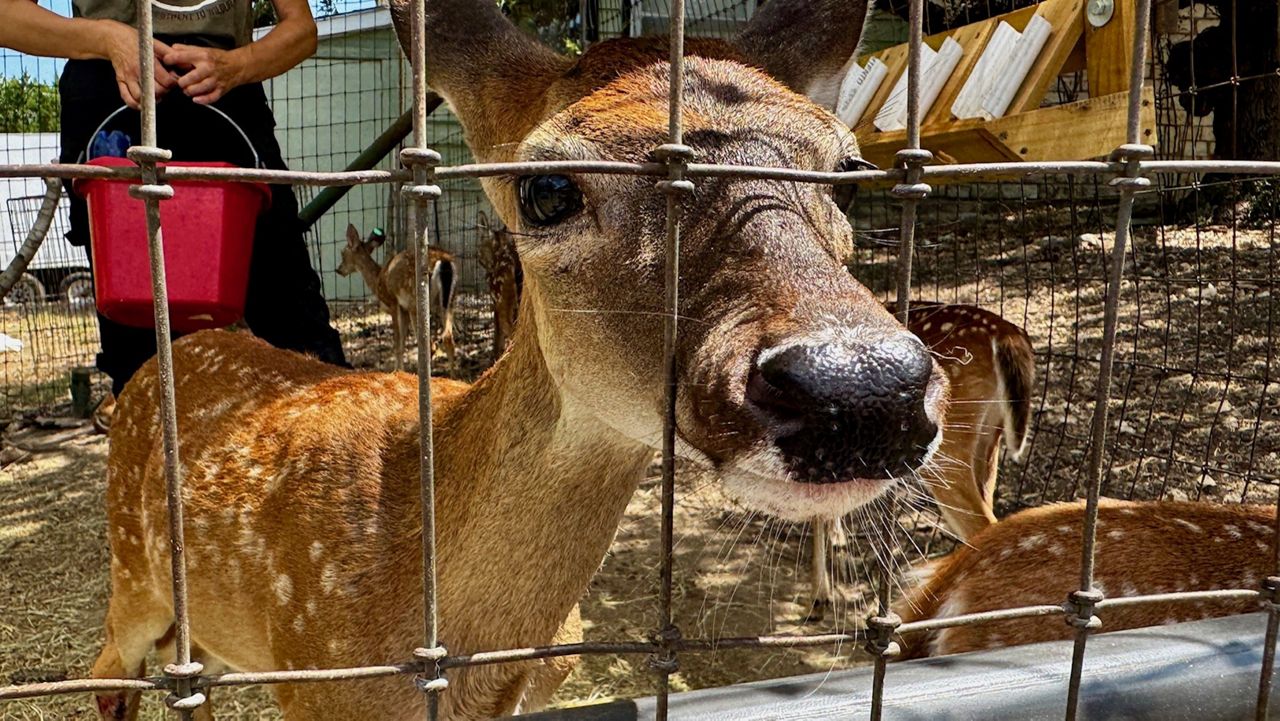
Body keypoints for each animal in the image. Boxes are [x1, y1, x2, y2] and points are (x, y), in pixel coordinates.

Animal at [336, 223, 457, 373]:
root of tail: (444, 261)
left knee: (430, 344)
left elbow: (397, 341)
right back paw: (453, 377)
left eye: (342, 253)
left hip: (415, 301)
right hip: (450, 298)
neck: (378, 281)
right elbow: (402, 342)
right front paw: (400, 370)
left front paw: (397, 371)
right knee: (448, 337)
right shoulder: (403, 308)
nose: (338, 269)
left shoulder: (393, 302)